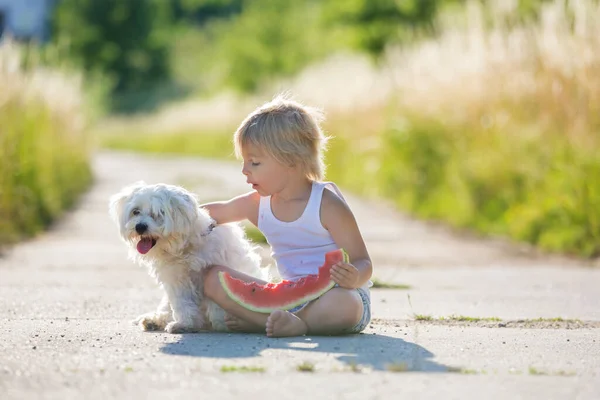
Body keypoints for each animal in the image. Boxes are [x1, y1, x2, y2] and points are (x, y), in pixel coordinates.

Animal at [110, 183, 264, 332]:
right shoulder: (176, 279)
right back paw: (154, 320)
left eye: (159, 213)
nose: (140, 227)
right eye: (135, 211)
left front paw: (221, 322)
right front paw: (185, 324)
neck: (183, 248)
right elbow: (182, 304)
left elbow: (218, 304)